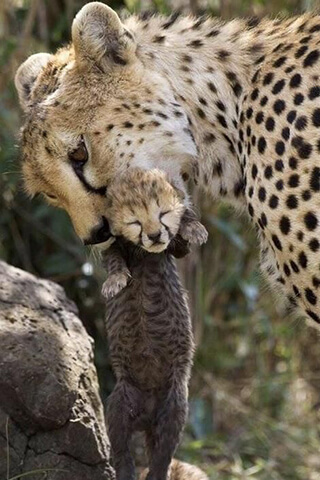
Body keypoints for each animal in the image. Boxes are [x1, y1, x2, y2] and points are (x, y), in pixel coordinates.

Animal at [102, 168, 208, 480]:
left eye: (163, 214)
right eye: (135, 220)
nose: (154, 235)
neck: (143, 255)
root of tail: (147, 416)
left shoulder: (174, 251)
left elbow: (183, 239)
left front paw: (193, 228)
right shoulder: (112, 246)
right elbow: (114, 261)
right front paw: (115, 282)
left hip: (174, 407)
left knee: (162, 455)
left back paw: (154, 472)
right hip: (120, 404)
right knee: (122, 448)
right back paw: (126, 471)